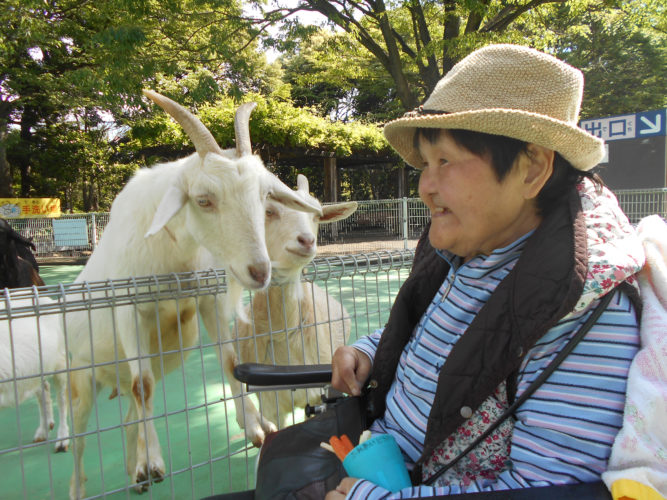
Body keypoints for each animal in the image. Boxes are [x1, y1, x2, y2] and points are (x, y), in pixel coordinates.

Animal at [66, 91, 322, 500]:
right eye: (203, 200)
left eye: (264, 197)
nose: (259, 271)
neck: (171, 254)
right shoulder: (128, 309)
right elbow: (144, 386)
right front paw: (154, 463)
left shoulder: (206, 300)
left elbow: (229, 360)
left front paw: (256, 426)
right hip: (79, 376)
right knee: (80, 435)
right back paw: (85, 485)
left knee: (128, 414)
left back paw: (134, 473)